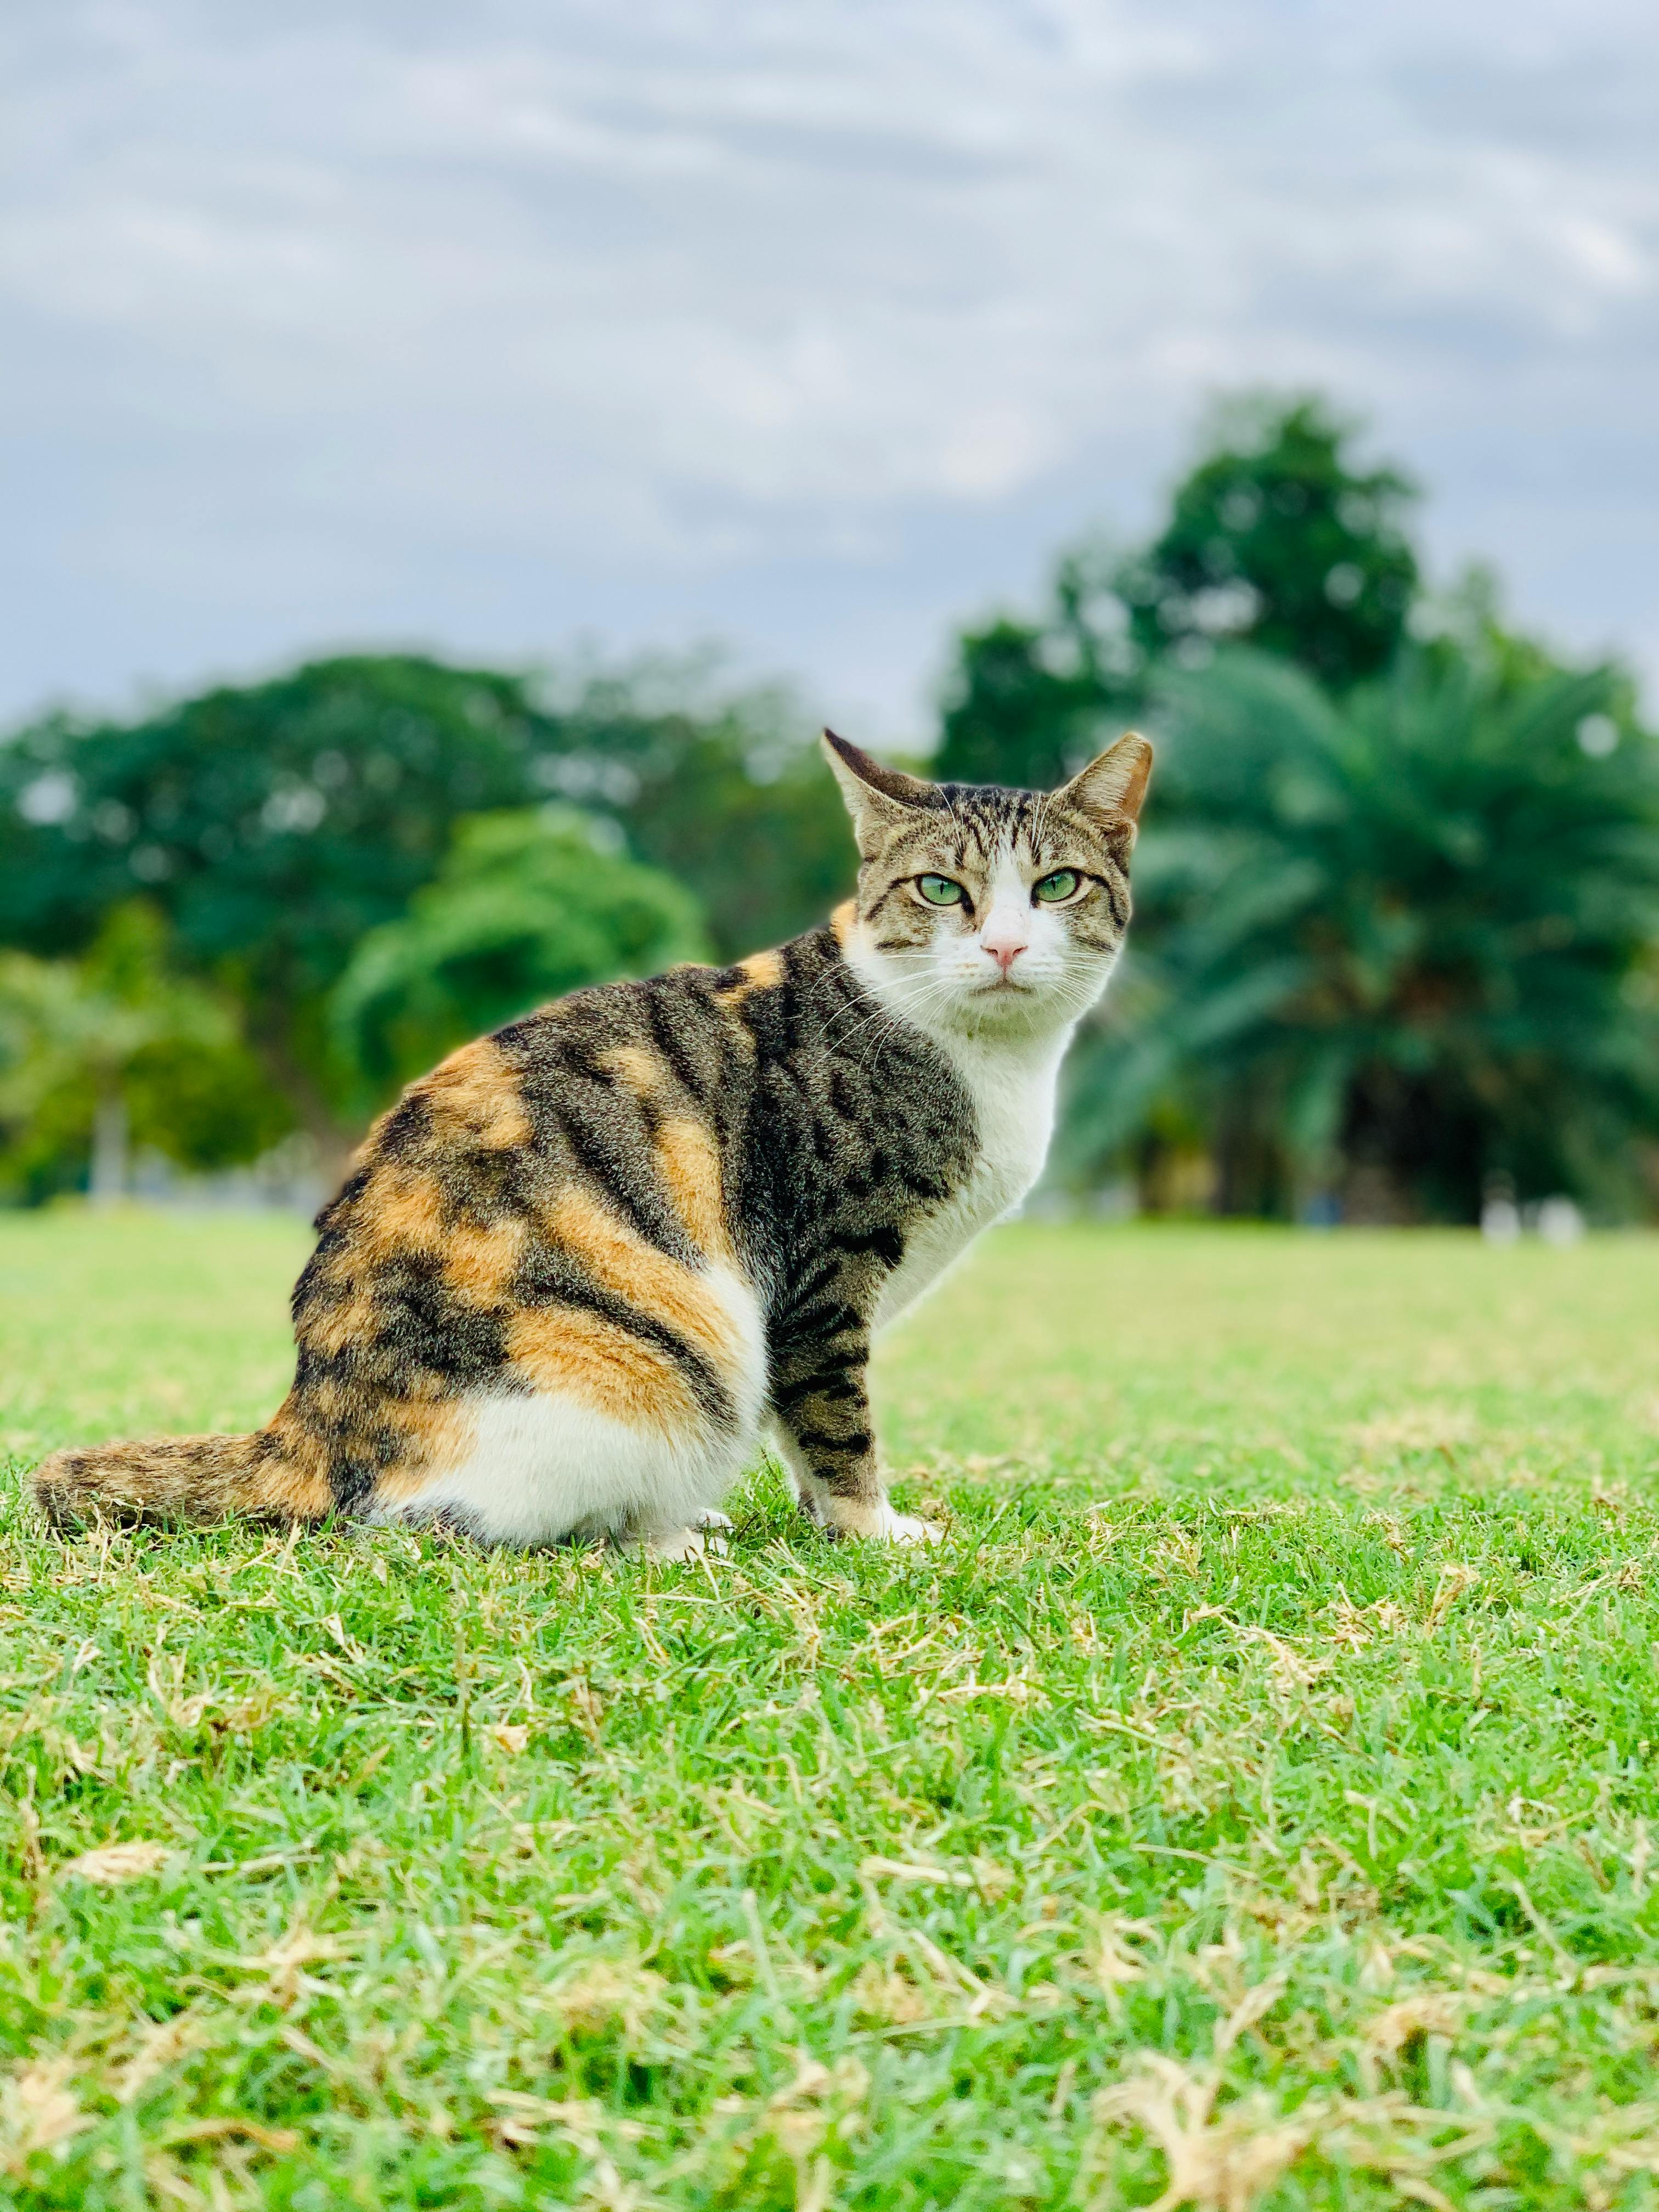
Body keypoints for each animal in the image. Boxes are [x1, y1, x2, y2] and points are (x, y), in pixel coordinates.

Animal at [32, 730, 1150, 1557]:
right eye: (937, 890)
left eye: (1056, 886)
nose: (1003, 945)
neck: (982, 1056)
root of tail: (307, 1422)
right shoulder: (823, 1272)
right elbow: (838, 1418)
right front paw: (872, 1530)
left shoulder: (808, 1311)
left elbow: (802, 1423)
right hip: (655, 1364)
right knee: (459, 1527)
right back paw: (661, 1538)